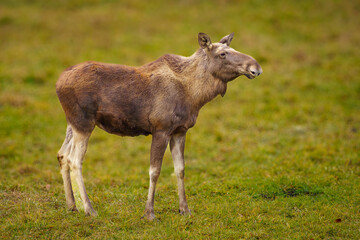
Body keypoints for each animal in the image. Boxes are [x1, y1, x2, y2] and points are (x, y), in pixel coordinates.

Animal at [57, 32, 264, 220]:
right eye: (222, 54)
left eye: (233, 49)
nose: (256, 68)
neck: (195, 96)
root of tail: (58, 84)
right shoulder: (161, 130)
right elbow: (155, 171)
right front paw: (149, 213)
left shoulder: (180, 131)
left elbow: (180, 169)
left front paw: (184, 209)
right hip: (84, 123)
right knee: (75, 160)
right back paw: (89, 209)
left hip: (71, 124)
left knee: (62, 155)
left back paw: (71, 205)